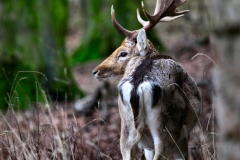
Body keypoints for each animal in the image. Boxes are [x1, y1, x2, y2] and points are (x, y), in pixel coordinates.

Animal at [92, 0, 201, 159]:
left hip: (126, 130)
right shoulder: (184, 136)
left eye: (123, 53)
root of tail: (137, 88)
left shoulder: (148, 146)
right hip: (168, 129)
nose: (95, 71)